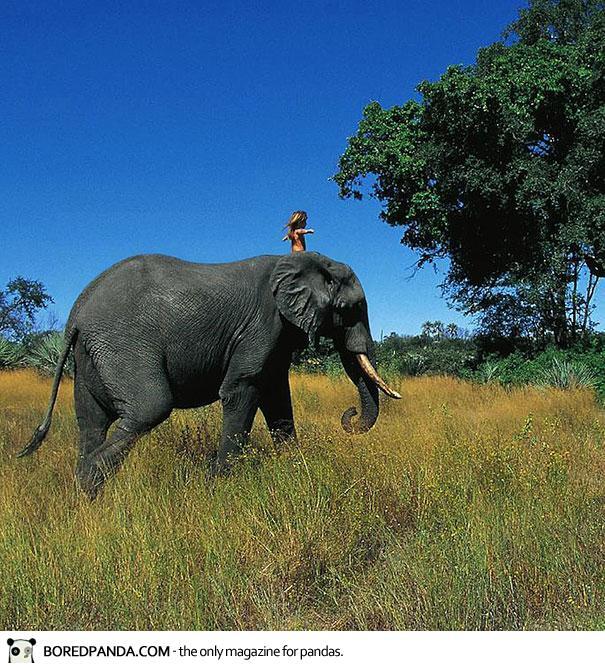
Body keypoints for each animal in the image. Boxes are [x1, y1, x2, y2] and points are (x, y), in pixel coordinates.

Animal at [18, 252, 398, 498]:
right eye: (351, 309)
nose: (349, 416)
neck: (307, 262)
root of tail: (77, 312)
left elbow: (276, 397)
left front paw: (295, 470)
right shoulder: (261, 325)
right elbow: (243, 389)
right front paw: (217, 485)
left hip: (89, 357)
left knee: (92, 421)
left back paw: (83, 495)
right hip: (121, 344)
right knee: (148, 408)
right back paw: (88, 484)